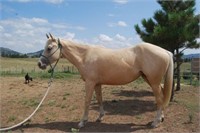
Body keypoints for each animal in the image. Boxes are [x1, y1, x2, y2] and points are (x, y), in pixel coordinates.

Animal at [38, 33, 173, 128]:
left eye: (49, 48)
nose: (40, 64)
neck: (85, 56)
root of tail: (166, 51)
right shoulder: (97, 84)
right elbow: (99, 99)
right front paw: (100, 117)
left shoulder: (90, 83)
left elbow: (87, 101)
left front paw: (82, 122)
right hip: (150, 80)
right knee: (161, 96)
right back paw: (161, 118)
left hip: (154, 82)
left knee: (159, 99)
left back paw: (155, 123)